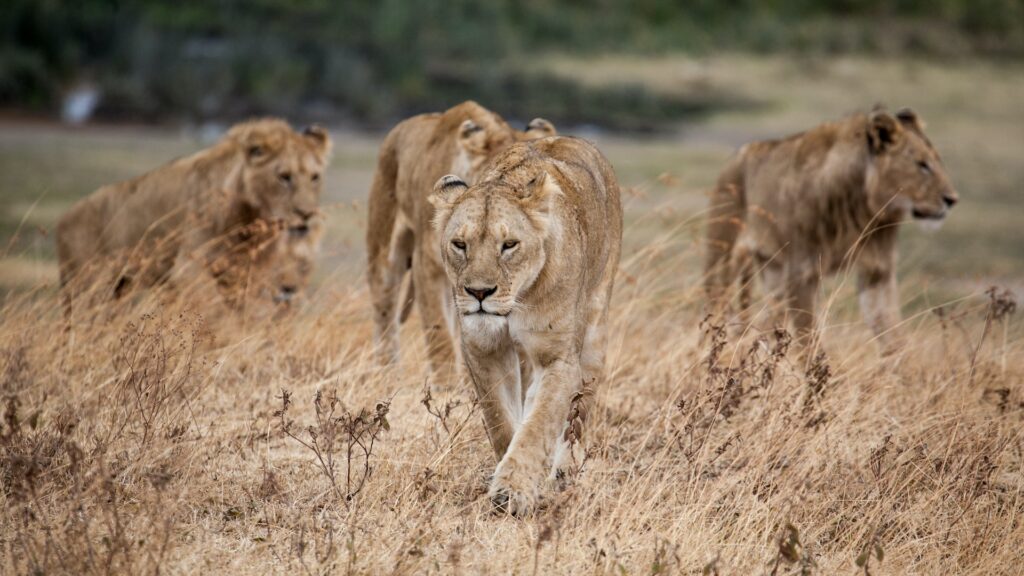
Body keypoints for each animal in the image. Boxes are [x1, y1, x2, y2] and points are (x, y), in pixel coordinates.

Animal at [56, 118, 331, 315]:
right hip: (87, 287)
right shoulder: (188, 270)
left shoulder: (246, 275)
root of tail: (64, 217)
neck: (249, 221)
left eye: (315, 177)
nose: (307, 214)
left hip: (119, 287)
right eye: (284, 177)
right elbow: (211, 317)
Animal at [368, 100, 557, 383]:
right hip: (384, 253)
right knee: (385, 314)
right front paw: (447, 389)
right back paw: (387, 374)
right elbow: (439, 336)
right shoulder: (428, 268)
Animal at [428, 135, 618, 510]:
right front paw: (508, 473)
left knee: (578, 416)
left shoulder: (558, 358)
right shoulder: (483, 349)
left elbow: (539, 424)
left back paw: (565, 473)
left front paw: (512, 491)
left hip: (595, 333)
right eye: (459, 244)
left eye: (509, 245)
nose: (479, 292)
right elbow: (501, 420)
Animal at [708, 109, 954, 348]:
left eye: (938, 162)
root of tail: (737, 154)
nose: (952, 199)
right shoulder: (802, 273)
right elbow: (809, 342)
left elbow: (893, 335)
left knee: (767, 323)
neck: (863, 210)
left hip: (772, 270)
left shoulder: (878, 270)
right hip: (723, 258)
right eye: (922, 165)